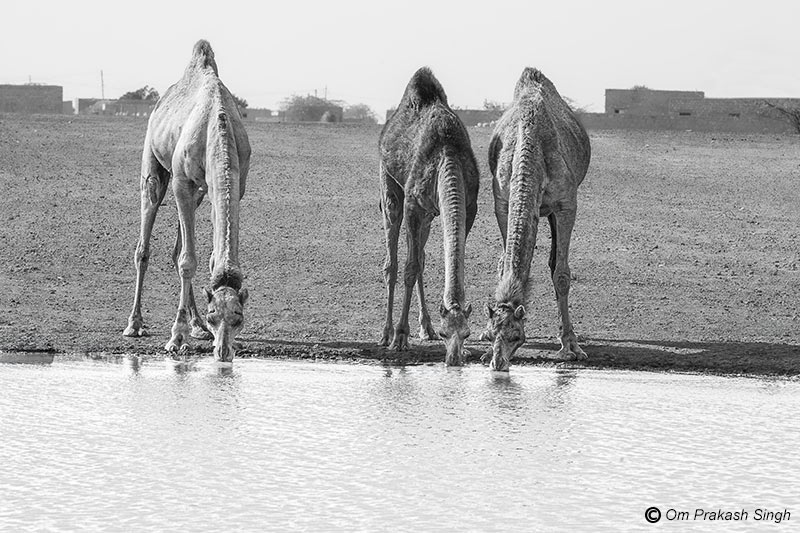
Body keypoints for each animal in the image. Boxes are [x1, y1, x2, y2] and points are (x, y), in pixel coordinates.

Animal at [123, 40, 251, 362]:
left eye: (238, 317)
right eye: (213, 313)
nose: (223, 352)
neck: (217, 125)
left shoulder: (233, 185)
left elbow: (206, 256)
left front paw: (192, 328)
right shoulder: (182, 181)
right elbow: (187, 261)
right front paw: (176, 338)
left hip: (201, 192)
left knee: (177, 245)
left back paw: (194, 326)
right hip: (154, 164)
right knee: (146, 239)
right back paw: (135, 324)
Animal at [379, 67, 480, 365]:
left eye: (467, 333)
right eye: (448, 334)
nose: (454, 359)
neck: (448, 151)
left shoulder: (468, 209)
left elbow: (437, 257)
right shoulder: (414, 204)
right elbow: (409, 267)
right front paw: (400, 338)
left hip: (429, 215)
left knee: (420, 256)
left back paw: (425, 328)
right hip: (389, 184)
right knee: (393, 259)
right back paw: (386, 334)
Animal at [484, 68, 591, 371]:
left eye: (516, 335)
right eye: (491, 334)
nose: (497, 363)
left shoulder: (566, 204)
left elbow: (562, 274)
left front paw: (570, 347)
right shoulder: (502, 202)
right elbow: (504, 262)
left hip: (553, 210)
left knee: (555, 262)